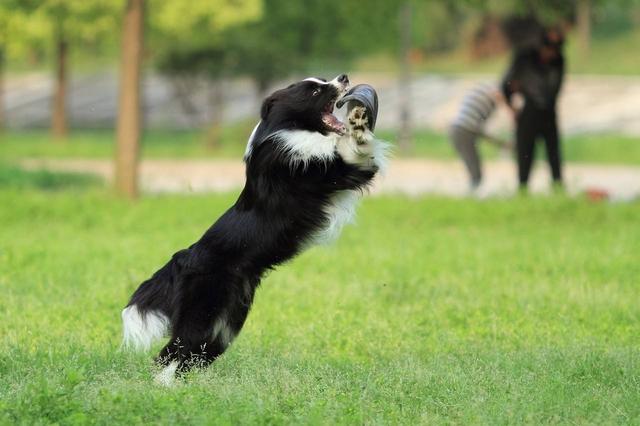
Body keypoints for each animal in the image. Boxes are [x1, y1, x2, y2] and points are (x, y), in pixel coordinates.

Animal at [122, 75, 388, 384]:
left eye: (324, 80)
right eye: (314, 90)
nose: (343, 77)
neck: (289, 129)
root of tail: (184, 257)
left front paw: (360, 122)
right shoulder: (318, 172)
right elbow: (348, 152)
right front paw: (358, 123)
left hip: (225, 323)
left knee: (193, 354)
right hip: (202, 311)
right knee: (172, 351)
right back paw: (163, 387)